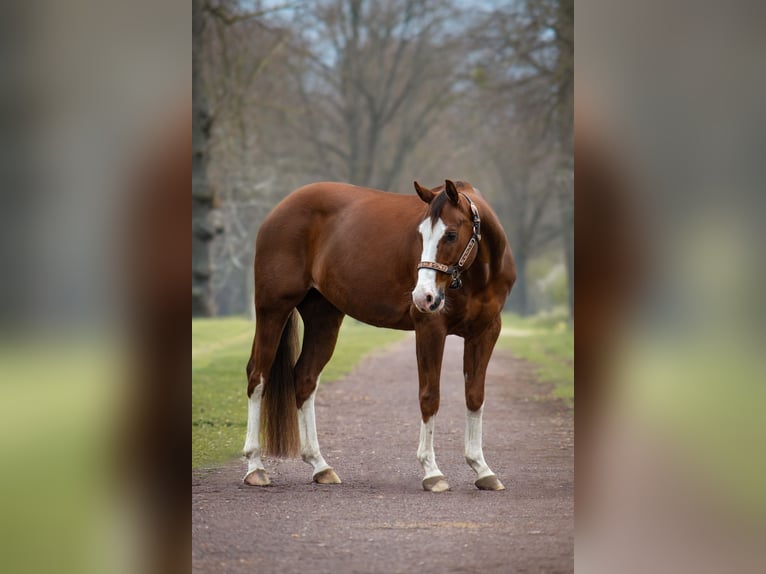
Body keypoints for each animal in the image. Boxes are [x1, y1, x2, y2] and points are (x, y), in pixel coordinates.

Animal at [243, 179, 516, 492]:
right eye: (420, 235)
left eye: (451, 234)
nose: (423, 296)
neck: (479, 275)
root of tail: (279, 210)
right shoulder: (430, 327)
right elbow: (430, 396)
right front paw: (432, 471)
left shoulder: (486, 332)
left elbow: (475, 396)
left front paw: (482, 469)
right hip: (273, 309)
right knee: (258, 376)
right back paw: (255, 466)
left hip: (323, 318)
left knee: (305, 378)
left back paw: (320, 466)